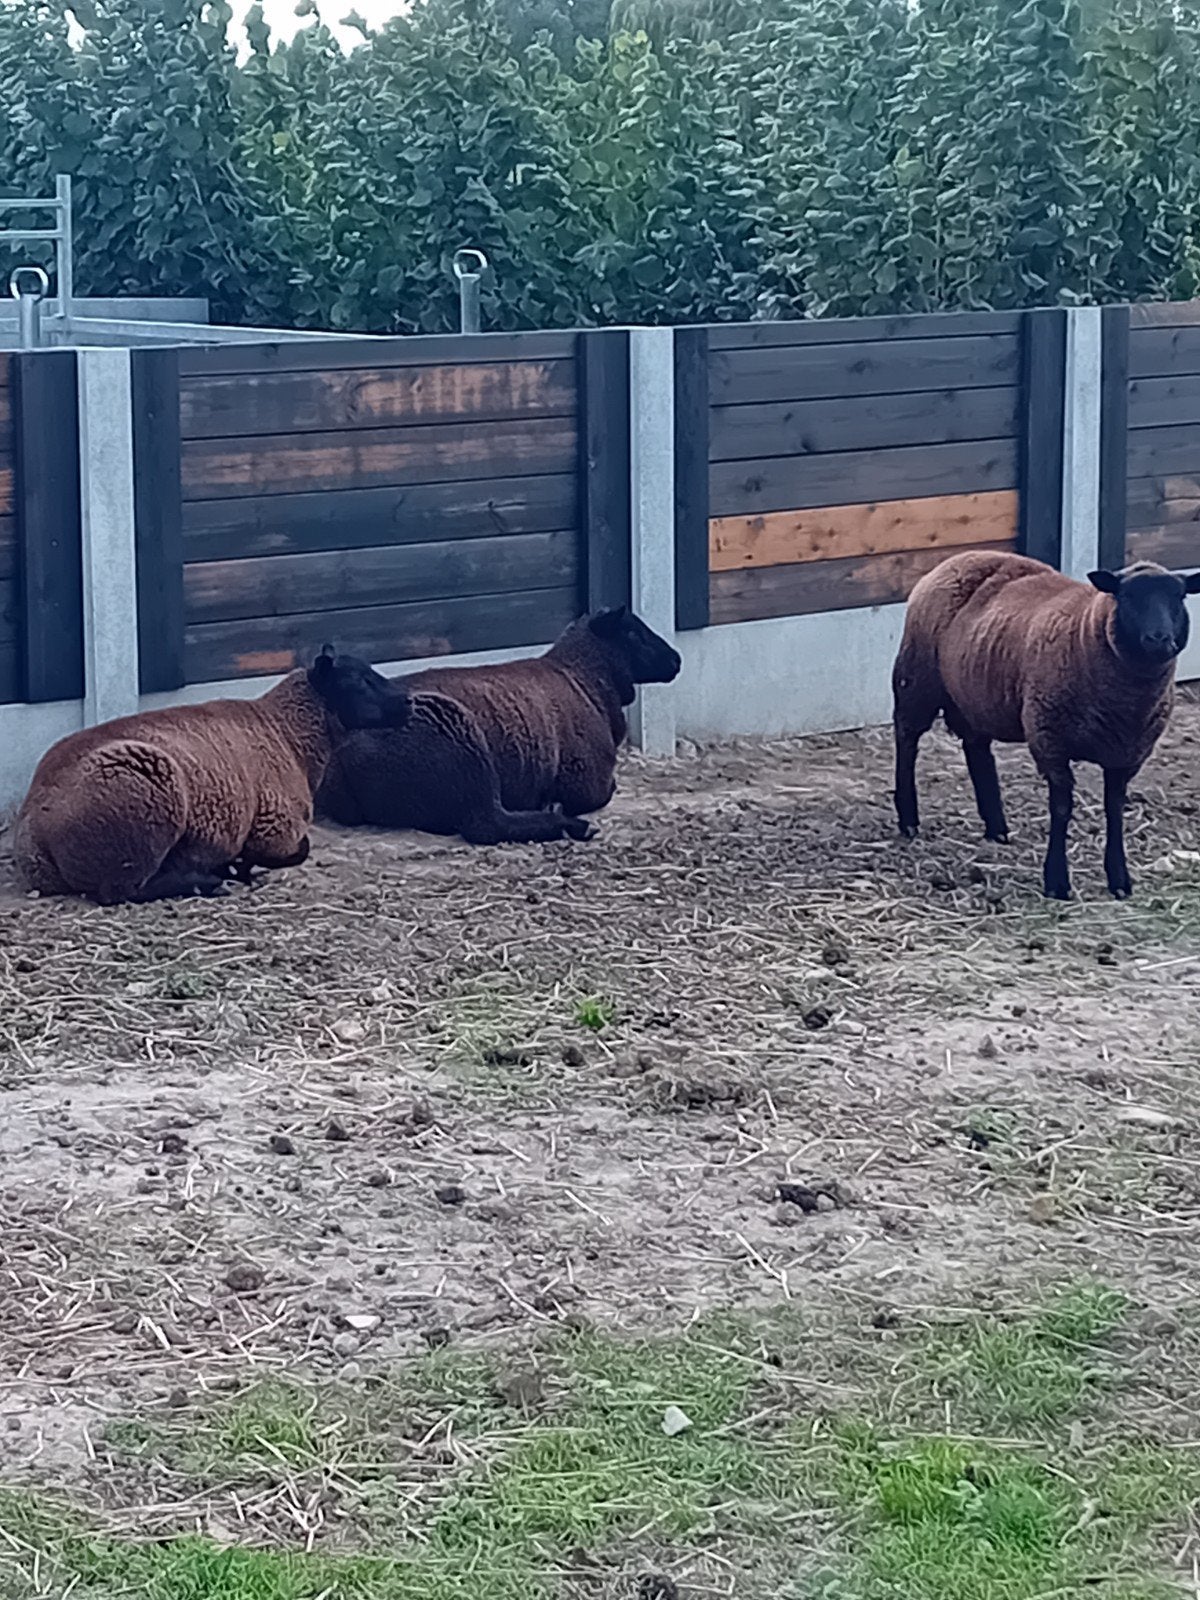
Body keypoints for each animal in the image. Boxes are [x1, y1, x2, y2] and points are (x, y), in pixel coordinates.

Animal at [13, 648, 411, 905]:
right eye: (357, 681)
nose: (407, 701)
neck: (287, 732)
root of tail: (33, 838)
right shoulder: (275, 827)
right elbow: (298, 851)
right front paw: (238, 867)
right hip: (139, 822)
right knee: (121, 892)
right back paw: (206, 882)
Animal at [316, 605, 682, 844]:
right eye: (632, 632)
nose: (677, 660)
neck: (583, 678)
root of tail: (340, 756)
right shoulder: (586, 782)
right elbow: (605, 792)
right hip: (465, 755)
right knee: (487, 825)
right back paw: (569, 825)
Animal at [892, 549, 1200, 900]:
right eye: (1127, 596)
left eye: (1179, 596)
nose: (1159, 639)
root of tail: (959, 558)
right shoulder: (1050, 740)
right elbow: (1062, 809)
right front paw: (1057, 882)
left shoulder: (1127, 754)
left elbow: (1114, 810)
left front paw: (1119, 879)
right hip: (917, 678)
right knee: (907, 739)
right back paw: (909, 819)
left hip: (973, 694)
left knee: (977, 749)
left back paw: (996, 828)